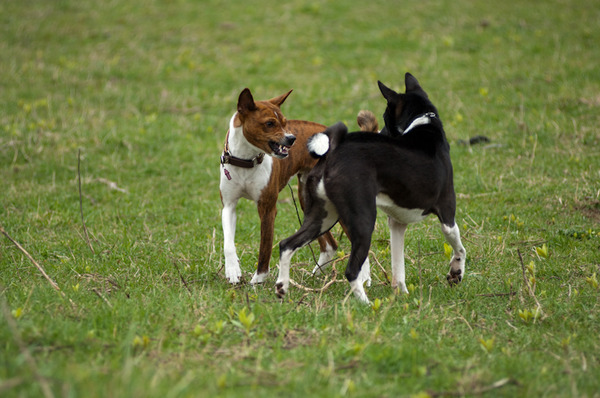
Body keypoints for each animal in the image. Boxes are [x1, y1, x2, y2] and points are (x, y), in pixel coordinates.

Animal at [220, 88, 380, 284]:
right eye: (269, 123)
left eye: (285, 122)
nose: (291, 138)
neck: (247, 161)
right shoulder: (229, 206)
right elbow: (228, 243)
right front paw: (233, 270)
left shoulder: (267, 209)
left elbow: (265, 247)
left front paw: (258, 280)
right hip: (310, 202)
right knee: (330, 245)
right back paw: (317, 273)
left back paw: (364, 279)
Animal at [274, 73, 466, 304]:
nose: (380, 132)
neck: (424, 123)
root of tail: (333, 152)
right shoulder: (447, 213)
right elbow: (460, 248)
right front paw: (456, 273)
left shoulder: (397, 223)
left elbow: (398, 266)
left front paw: (402, 293)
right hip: (364, 221)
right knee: (351, 270)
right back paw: (365, 304)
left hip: (323, 218)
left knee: (286, 245)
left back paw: (282, 287)